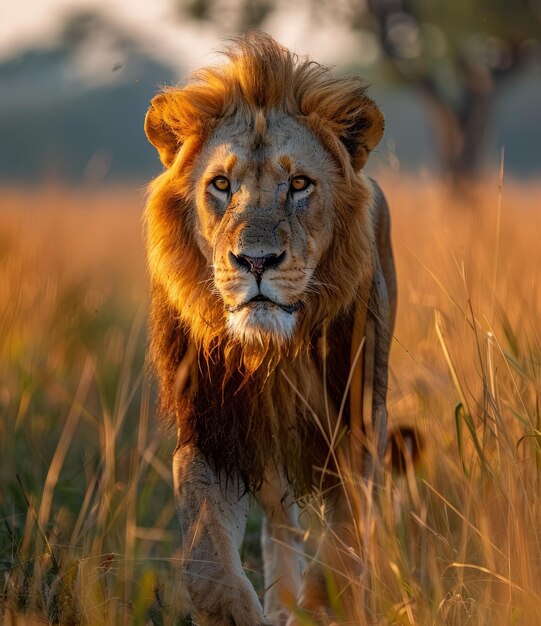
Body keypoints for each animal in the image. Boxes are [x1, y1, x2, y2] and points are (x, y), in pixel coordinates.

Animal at [143, 34, 396, 624]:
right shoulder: (213, 432)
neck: (271, 352)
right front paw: (245, 612)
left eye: (299, 184)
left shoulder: (357, 424)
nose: (255, 261)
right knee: (280, 522)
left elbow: (342, 547)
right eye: (220, 184)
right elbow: (206, 559)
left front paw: (323, 608)